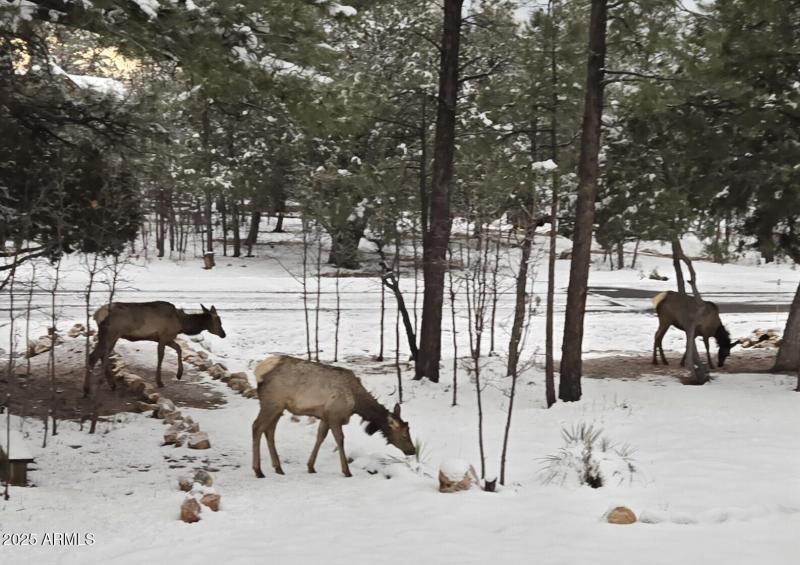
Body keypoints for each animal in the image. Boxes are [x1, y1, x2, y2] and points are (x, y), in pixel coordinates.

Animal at [86, 302, 226, 396]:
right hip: (111, 334)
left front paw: (179, 374)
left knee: (100, 355)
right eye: (218, 321)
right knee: (94, 356)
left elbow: (179, 348)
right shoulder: (164, 336)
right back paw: (87, 390)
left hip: (110, 336)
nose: (223, 334)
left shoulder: (166, 338)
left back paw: (111, 384)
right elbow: (161, 356)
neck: (182, 324)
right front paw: (159, 382)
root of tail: (97, 315)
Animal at [252, 355, 416, 478]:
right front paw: (347, 471)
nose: (413, 450)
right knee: (257, 427)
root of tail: (258, 370)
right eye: (404, 434)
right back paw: (258, 470)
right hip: (271, 403)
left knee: (269, 431)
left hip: (278, 407)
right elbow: (340, 440)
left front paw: (311, 466)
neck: (356, 403)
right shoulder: (335, 415)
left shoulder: (325, 416)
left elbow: (320, 437)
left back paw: (278, 468)